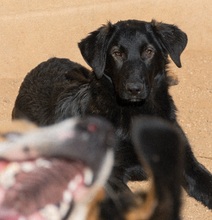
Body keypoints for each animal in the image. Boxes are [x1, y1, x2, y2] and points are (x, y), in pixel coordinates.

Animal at [12, 18, 212, 208]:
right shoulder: (108, 175)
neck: (136, 113)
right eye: (117, 53)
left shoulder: (185, 160)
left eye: (149, 51)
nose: (134, 89)